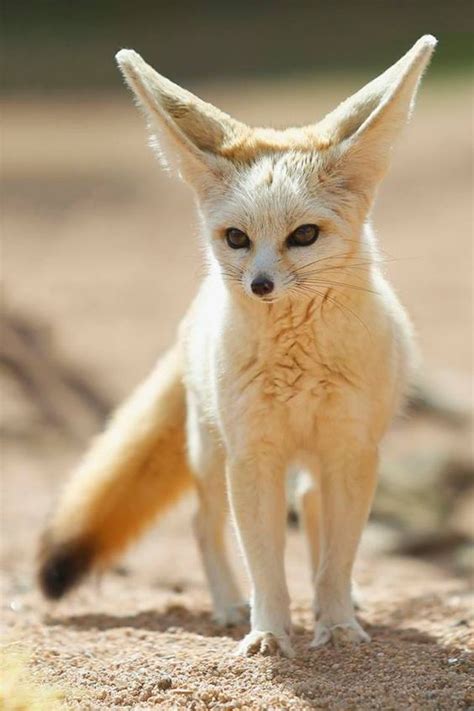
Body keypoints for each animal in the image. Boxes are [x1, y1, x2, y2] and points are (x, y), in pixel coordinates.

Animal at [39, 36, 436, 660]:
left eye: (303, 235)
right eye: (237, 239)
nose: (260, 285)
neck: (299, 365)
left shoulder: (351, 452)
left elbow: (336, 557)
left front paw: (337, 625)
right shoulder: (253, 456)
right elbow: (264, 562)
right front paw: (269, 631)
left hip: (309, 465)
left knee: (315, 519)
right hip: (210, 454)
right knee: (203, 526)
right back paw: (229, 607)